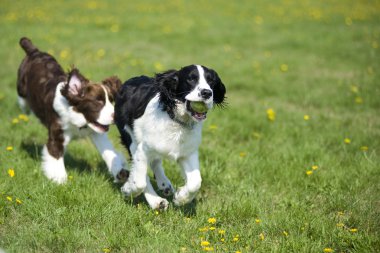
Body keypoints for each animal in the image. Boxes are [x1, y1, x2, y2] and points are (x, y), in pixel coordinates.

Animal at [17, 37, 129, 184]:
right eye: (98, 102)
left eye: (111, 101)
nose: (116, 117)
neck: (77, 117)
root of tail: (34, 51)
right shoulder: (57, 134)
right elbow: (56, 157)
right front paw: (60, 181)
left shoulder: (97, 133)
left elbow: (109, 152)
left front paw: (120, 173)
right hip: (21, 88)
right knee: (22, 101)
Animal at [114, 64, 224, 209]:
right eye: (191, 79)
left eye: (211, 81)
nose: (207, 93)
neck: (175, 120)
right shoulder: (143, 150)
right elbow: (140, 182)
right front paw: (128, 190)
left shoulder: (188, 152)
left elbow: (195, 182)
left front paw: (180, 198)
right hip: (131, 139)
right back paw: (156, 201)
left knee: (155, 161)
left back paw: (164, 184)